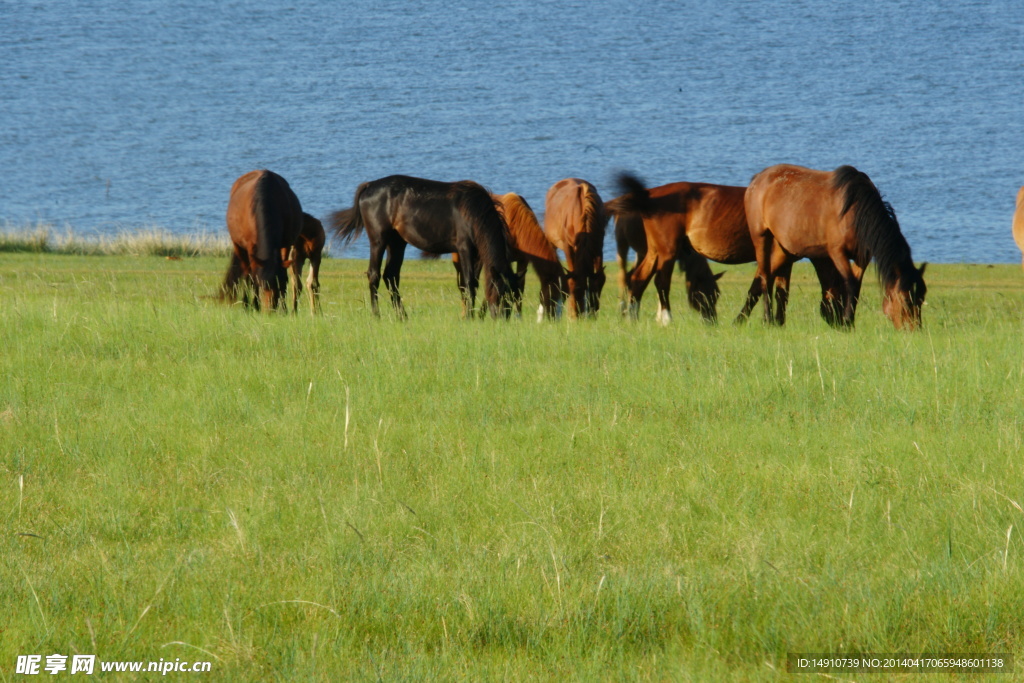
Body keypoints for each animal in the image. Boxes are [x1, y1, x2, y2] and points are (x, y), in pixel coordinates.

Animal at [221, 169, 303, 311]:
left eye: (278, 284)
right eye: (262, 285)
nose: (270, 310)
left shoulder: (285, 244)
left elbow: (284, 274)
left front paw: (284, 308)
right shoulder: (251, 247)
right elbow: (252, 277)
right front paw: (254, 305)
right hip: (238, 246)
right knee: (246, 272)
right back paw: (246, 304)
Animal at [329, 175, 520, 319]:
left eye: (515, 295)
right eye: (503, 293)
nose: (504, 319)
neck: (473, 211)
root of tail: (369, 185)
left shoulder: (477, 254)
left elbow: (474, 284)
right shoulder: (464, 248)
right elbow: (469, 282)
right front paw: (469, 317)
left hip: (397, 242)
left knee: (391, 276)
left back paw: (402, 316)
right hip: (378, 240)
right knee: (374, 275)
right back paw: (377, 315)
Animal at [543, 178, 608, 318]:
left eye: (597, 289)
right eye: (575, 290)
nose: (587, 316)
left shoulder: (598, 245)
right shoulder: (568, 247)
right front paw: (571, 314)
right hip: (552, 243)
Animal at [607, 174, 857, 327]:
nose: (839, 321)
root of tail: (647, 196)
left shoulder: (786, 259)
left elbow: (780, 291)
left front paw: (778, 321)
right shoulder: (780, 257)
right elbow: (761, 289)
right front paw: (750, 320)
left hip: (655, 251)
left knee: (638, 279)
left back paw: (633, 319)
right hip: (667, 250)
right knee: (660, 281)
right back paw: (666, 319)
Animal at [744, 164, 926, 330]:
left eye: (921, 298)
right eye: (905, 299)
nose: (914, 330)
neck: (856, 212)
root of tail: (758, 179)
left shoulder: (862, 257)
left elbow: (856, 287)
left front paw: (849, 321)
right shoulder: (837, 252)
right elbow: (850, 283)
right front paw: (846, 323)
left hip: (784, 248)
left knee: (769, 276)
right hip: (761, 237)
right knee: (764, 275)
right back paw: (767, 319)